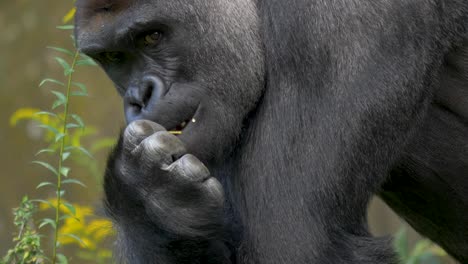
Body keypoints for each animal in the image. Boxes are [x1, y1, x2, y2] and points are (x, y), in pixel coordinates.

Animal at [74, 0, 468, 262]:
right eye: (112, 57)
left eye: (152, 37)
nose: (138, 98)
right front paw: (149, 200)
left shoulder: (344, 21)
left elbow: (296, 241)